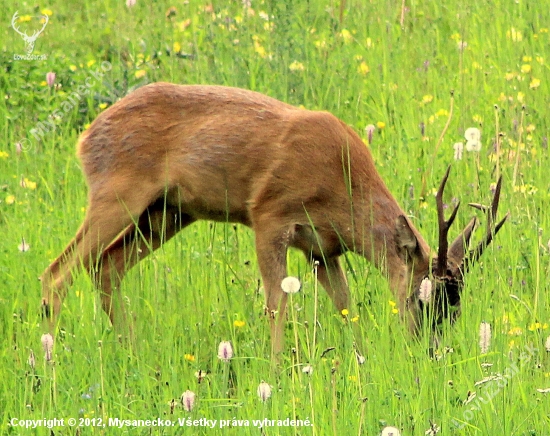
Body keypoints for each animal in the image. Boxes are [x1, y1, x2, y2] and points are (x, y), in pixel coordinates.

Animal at [42, 82, 508, 354]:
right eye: (422, 297)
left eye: (457, 307)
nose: (429, 350)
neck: (342, 180)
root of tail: (87, 136)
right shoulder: (269, 217)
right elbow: (276, 304)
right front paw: (276, 368)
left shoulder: (323, 249)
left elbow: (345, 305)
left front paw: (357, 357)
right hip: (116, 195)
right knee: (58, 271)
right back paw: (48, 358)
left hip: (166, 215)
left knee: (106, 267)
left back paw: (133, 350)